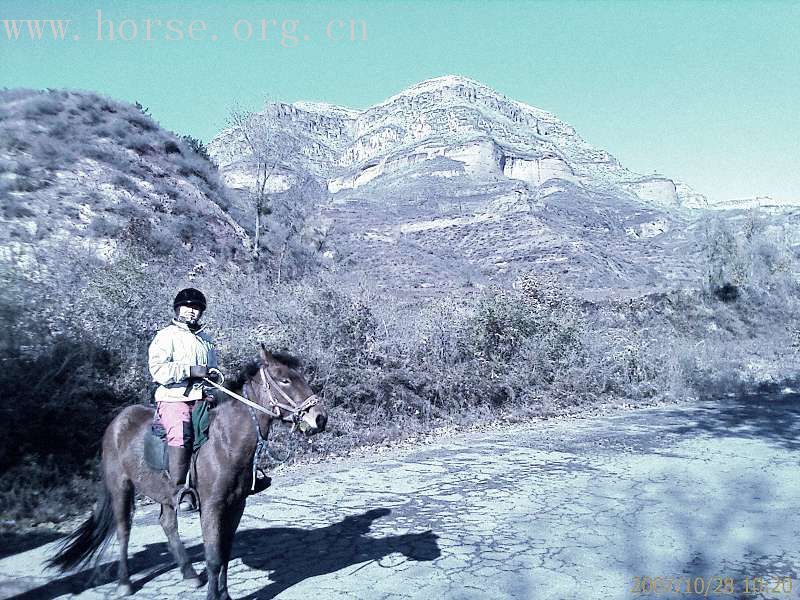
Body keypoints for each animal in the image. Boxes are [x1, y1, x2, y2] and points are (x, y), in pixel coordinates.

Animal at [46, 346, 328, 600]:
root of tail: (117, 422)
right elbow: (213, 557)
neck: (224, 441)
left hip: (165, 493)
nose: (320, 418)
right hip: (121, 488)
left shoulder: (236, 506)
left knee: (167, 524)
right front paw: (214, 597)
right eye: (284, 379)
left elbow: (225, 553)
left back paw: (189, 573)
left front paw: (225, 595)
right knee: (123, 530)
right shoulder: (212, 507)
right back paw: (124, 583)